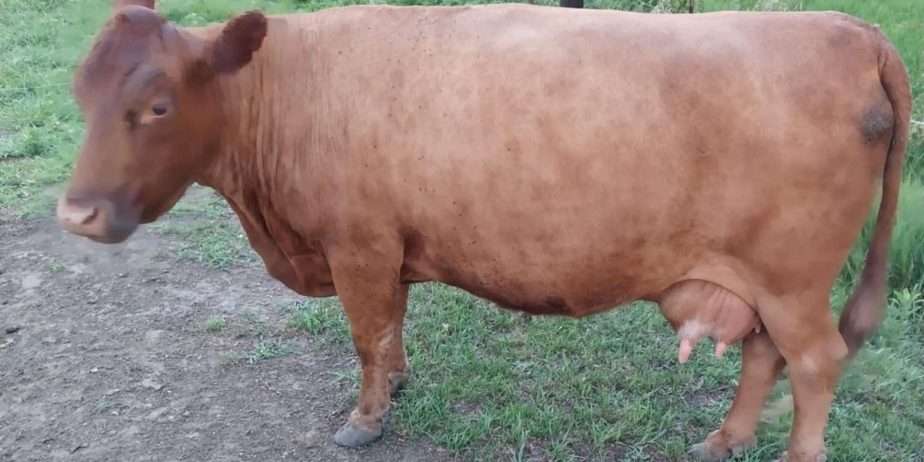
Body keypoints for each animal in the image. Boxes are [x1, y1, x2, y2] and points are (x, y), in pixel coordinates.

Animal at [57, 1, 910, 460]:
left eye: (158, 105)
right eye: (80, 92)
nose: (76, 214)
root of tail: (848, 27)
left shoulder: (357, 245)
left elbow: (366, 335)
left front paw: (365, 421)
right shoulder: (386, 249)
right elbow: (391, 329)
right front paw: (397, 385)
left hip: (793, 279)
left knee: (815, 363)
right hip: (762, 282)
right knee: (765, 355)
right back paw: (725, 438)